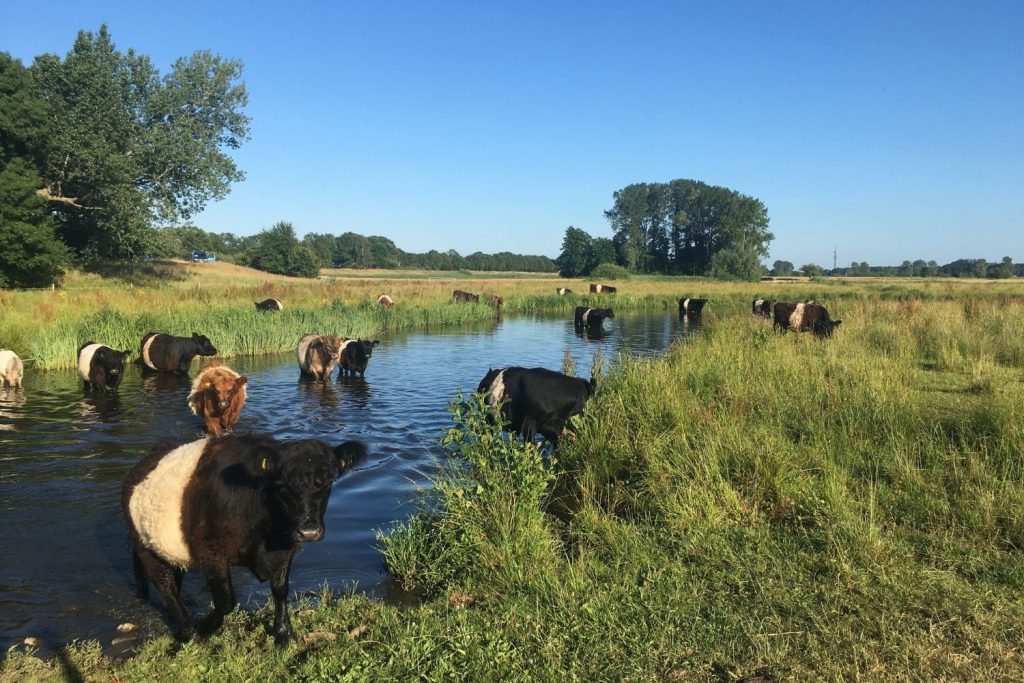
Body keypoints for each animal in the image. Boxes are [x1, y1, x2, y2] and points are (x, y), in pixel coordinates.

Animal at [122, 433, 367, 644]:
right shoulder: (211, 552)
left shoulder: (284, 548)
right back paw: (189, 632)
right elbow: (226, 601)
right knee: (167, 587)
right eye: (283, 484)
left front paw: (284, 634)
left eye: (328, 482)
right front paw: (205, 627)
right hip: (146, 547)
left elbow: (280, 590)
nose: (309, 531)